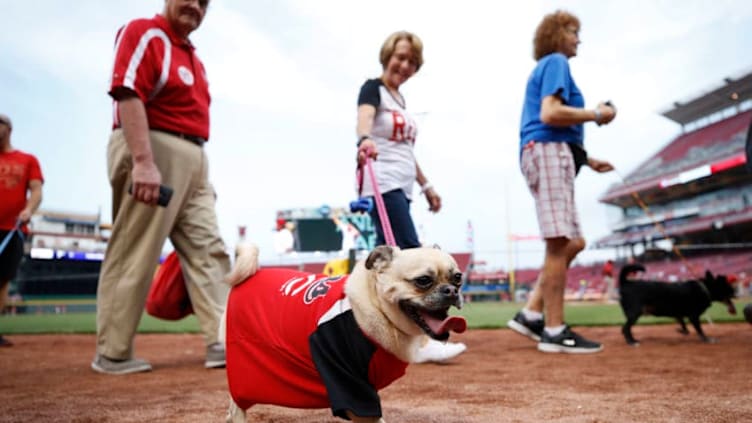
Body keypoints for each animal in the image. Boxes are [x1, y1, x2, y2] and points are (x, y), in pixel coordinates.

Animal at [222, 243, 464, 422]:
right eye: (423, 280)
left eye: (458, 278)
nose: (452, 290)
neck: (376, 306)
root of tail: (253, 274)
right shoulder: (347, 380)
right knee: (237, 407)